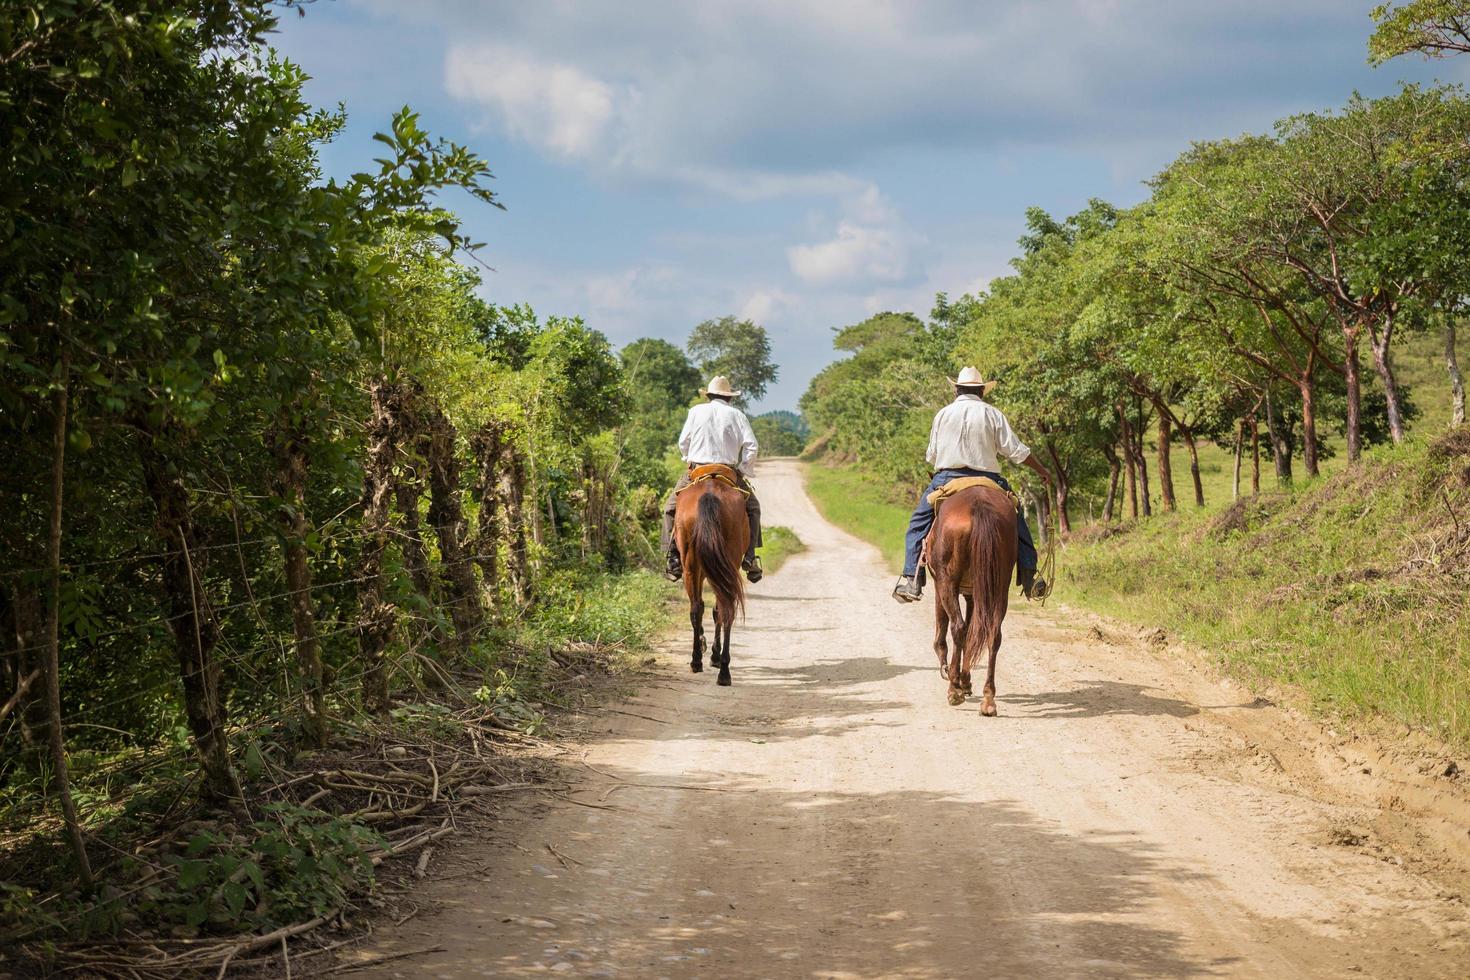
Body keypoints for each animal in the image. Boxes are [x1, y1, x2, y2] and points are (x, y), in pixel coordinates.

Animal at [673, 467, 746, 681]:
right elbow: (714, 610)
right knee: (723, 608)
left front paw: (707, 646)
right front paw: (711, 650)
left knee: (698, 608)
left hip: (692, 566)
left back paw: (699, 661)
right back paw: (722, 670)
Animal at [923, 487, 1017, 717]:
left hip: (948, 581)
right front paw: (965, 681)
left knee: (957, 627)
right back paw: (988, 699)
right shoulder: (974, 593)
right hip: (999, 586)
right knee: (993, 634)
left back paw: (953, 690)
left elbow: (944, 626)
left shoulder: (940, 584)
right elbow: (972, 633)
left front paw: (953, 676)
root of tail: (979, 506)